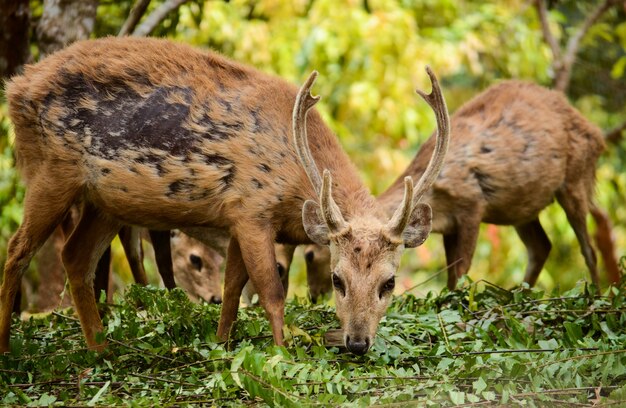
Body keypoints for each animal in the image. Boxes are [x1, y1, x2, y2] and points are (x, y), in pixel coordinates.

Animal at [1, 36, 448, 354]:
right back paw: (9, 349)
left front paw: (220, 343)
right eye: (338, 279)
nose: (356, 343)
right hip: (52, 170)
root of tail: (16, 87)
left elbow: (232, 288)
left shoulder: (235, 217)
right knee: (17, 249)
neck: (295, 172)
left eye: (389, 283)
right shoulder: (253, 209)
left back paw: (101, 349)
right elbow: (271, 291)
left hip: (104, 200)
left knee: (75, 257)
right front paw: (283, 351)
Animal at [302, 79, 604, 296]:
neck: (437, 195)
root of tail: (598, 135)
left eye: (310, 254)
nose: (314, 295)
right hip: (522, 208)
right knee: (542, 246)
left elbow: (461, 270)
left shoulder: (472, 205)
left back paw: (597, 295)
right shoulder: (448, 225)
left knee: (588, 247)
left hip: (576, 179)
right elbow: (450, 274)